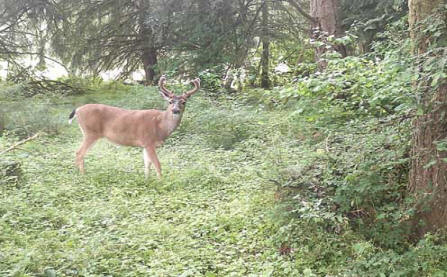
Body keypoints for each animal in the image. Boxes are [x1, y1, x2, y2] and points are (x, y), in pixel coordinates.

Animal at [68, 75, 201, 178]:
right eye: (170, 101)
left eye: (184, 102)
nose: (175, 110)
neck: (160, 126)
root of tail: (78, 110)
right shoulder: (148, 141)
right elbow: (157, 164)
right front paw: (161, 182)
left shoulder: (145, 145)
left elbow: (147, 165)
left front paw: (147, 180)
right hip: (90, 132)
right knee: (79, 152)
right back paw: (82, 175)